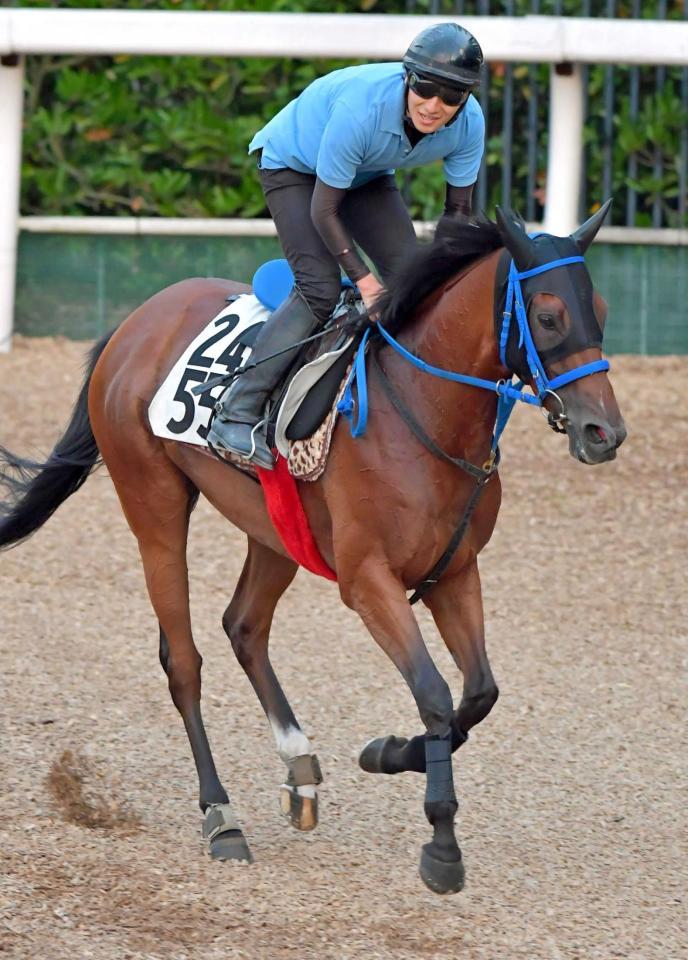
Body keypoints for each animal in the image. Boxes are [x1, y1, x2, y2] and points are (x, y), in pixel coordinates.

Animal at [0, 206, 624, 896]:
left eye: (599, 308)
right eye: (549, 315)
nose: (605, 432)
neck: (425, 413)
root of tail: (136, 321)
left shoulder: (455, 572)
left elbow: (479, 693)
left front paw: (389, 753)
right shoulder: (369, 580)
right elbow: (435, 694)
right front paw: (441, 840)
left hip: (274, 527)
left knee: (244, 626)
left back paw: (299, 765)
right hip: (153, 504)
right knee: (183, 661)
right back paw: (221, 815)